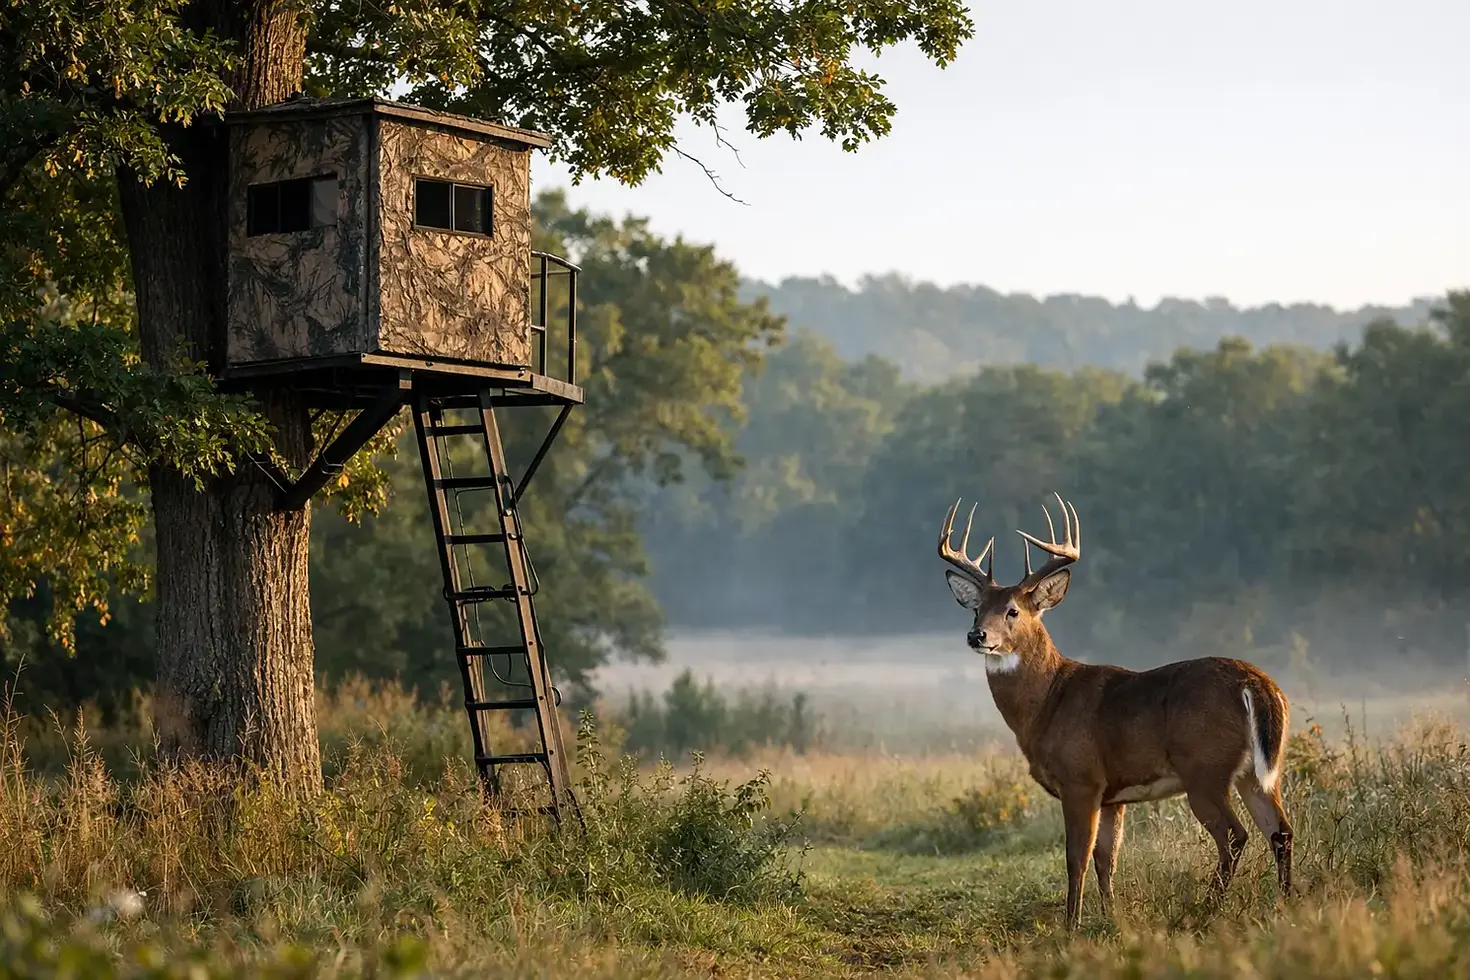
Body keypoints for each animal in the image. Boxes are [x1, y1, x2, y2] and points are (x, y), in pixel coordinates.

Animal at [938, 493, 1293, 930]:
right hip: (1257, 772)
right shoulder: (1112, 795)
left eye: (1012, 611)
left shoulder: (1081, 779)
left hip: (1204, 769)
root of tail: (1258, 685)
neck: (1048, 703)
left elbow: (1076, 859)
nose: (977, 635)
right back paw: (1284, 906)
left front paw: (1071, 925)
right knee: (1280, 831)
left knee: (1235, 835)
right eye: (976, 609)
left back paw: (1207, 908)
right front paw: (1112, 918)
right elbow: (1107, 859)